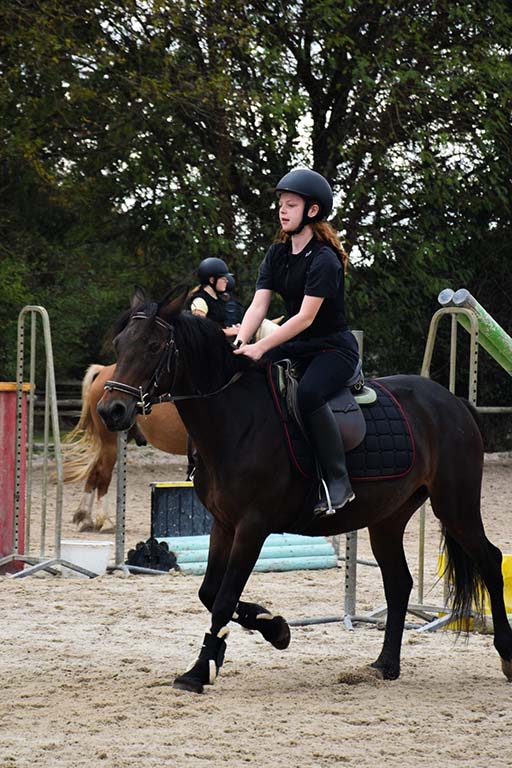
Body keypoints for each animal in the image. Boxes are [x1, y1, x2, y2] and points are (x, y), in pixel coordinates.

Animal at [63, 364, 188, 532]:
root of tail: (103, 370)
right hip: (111, 444)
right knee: (103, 475)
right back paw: (103, 520)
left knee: (94, 472)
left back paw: (86, 517)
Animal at [96, 290, 512, 696]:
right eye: (119, 345)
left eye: (153, 346)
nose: (111, 410)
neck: (236, 419)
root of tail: (453, 402)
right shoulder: (223, 524)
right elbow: (210, 593)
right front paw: (274, 627)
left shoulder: (252, 526)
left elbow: (224, 599)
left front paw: (199, 671)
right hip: (388, 519)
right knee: (399, 582)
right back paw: (385, 664)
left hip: (454, 506)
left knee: (490, 561)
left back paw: (506, 655)